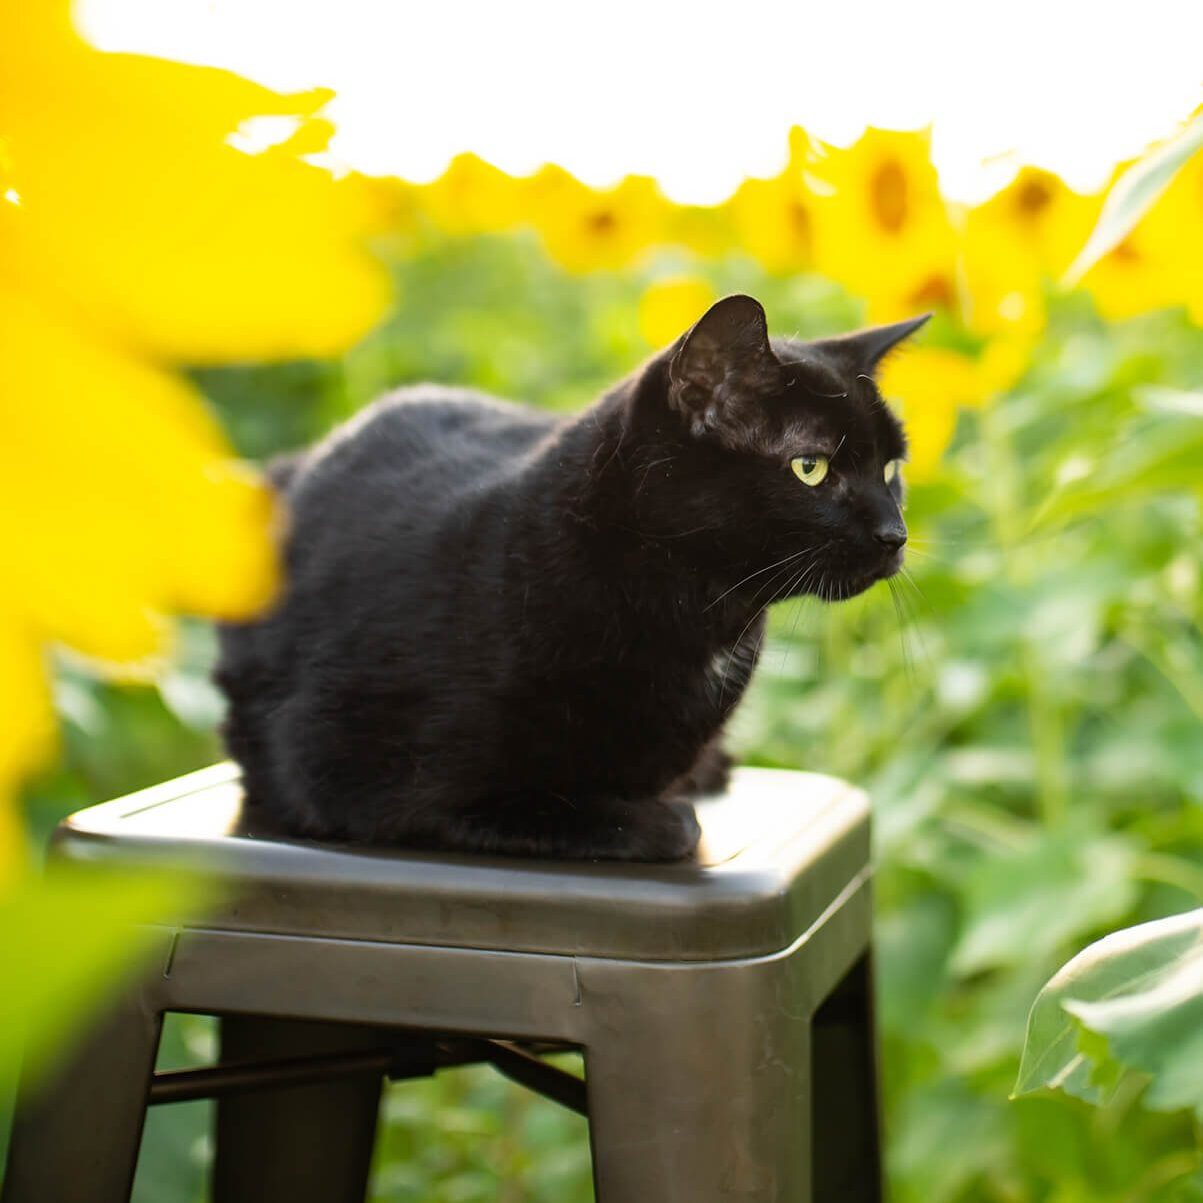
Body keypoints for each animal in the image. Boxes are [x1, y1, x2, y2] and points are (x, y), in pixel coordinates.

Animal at [216, 300, 923, 866]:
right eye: (811, 468)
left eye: (891, 469)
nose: (896, 534)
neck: (701, 617)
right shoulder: (346, 769)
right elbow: (625, 819)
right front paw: (657, 815)